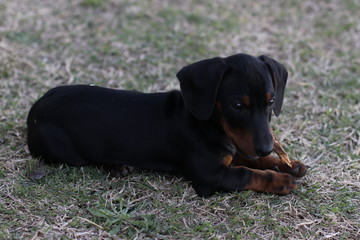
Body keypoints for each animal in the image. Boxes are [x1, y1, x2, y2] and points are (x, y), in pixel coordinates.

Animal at [26, 53, 306, 196]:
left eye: (271, 101)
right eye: (237, 105)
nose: (267, 147)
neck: (210, 125)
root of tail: (35, 109)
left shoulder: (237, 147)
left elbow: (250, 159)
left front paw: (285, 164)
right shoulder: (210, 177)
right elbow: (247, 173)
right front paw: (279, 181)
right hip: (65, 152)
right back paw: (116, 166)